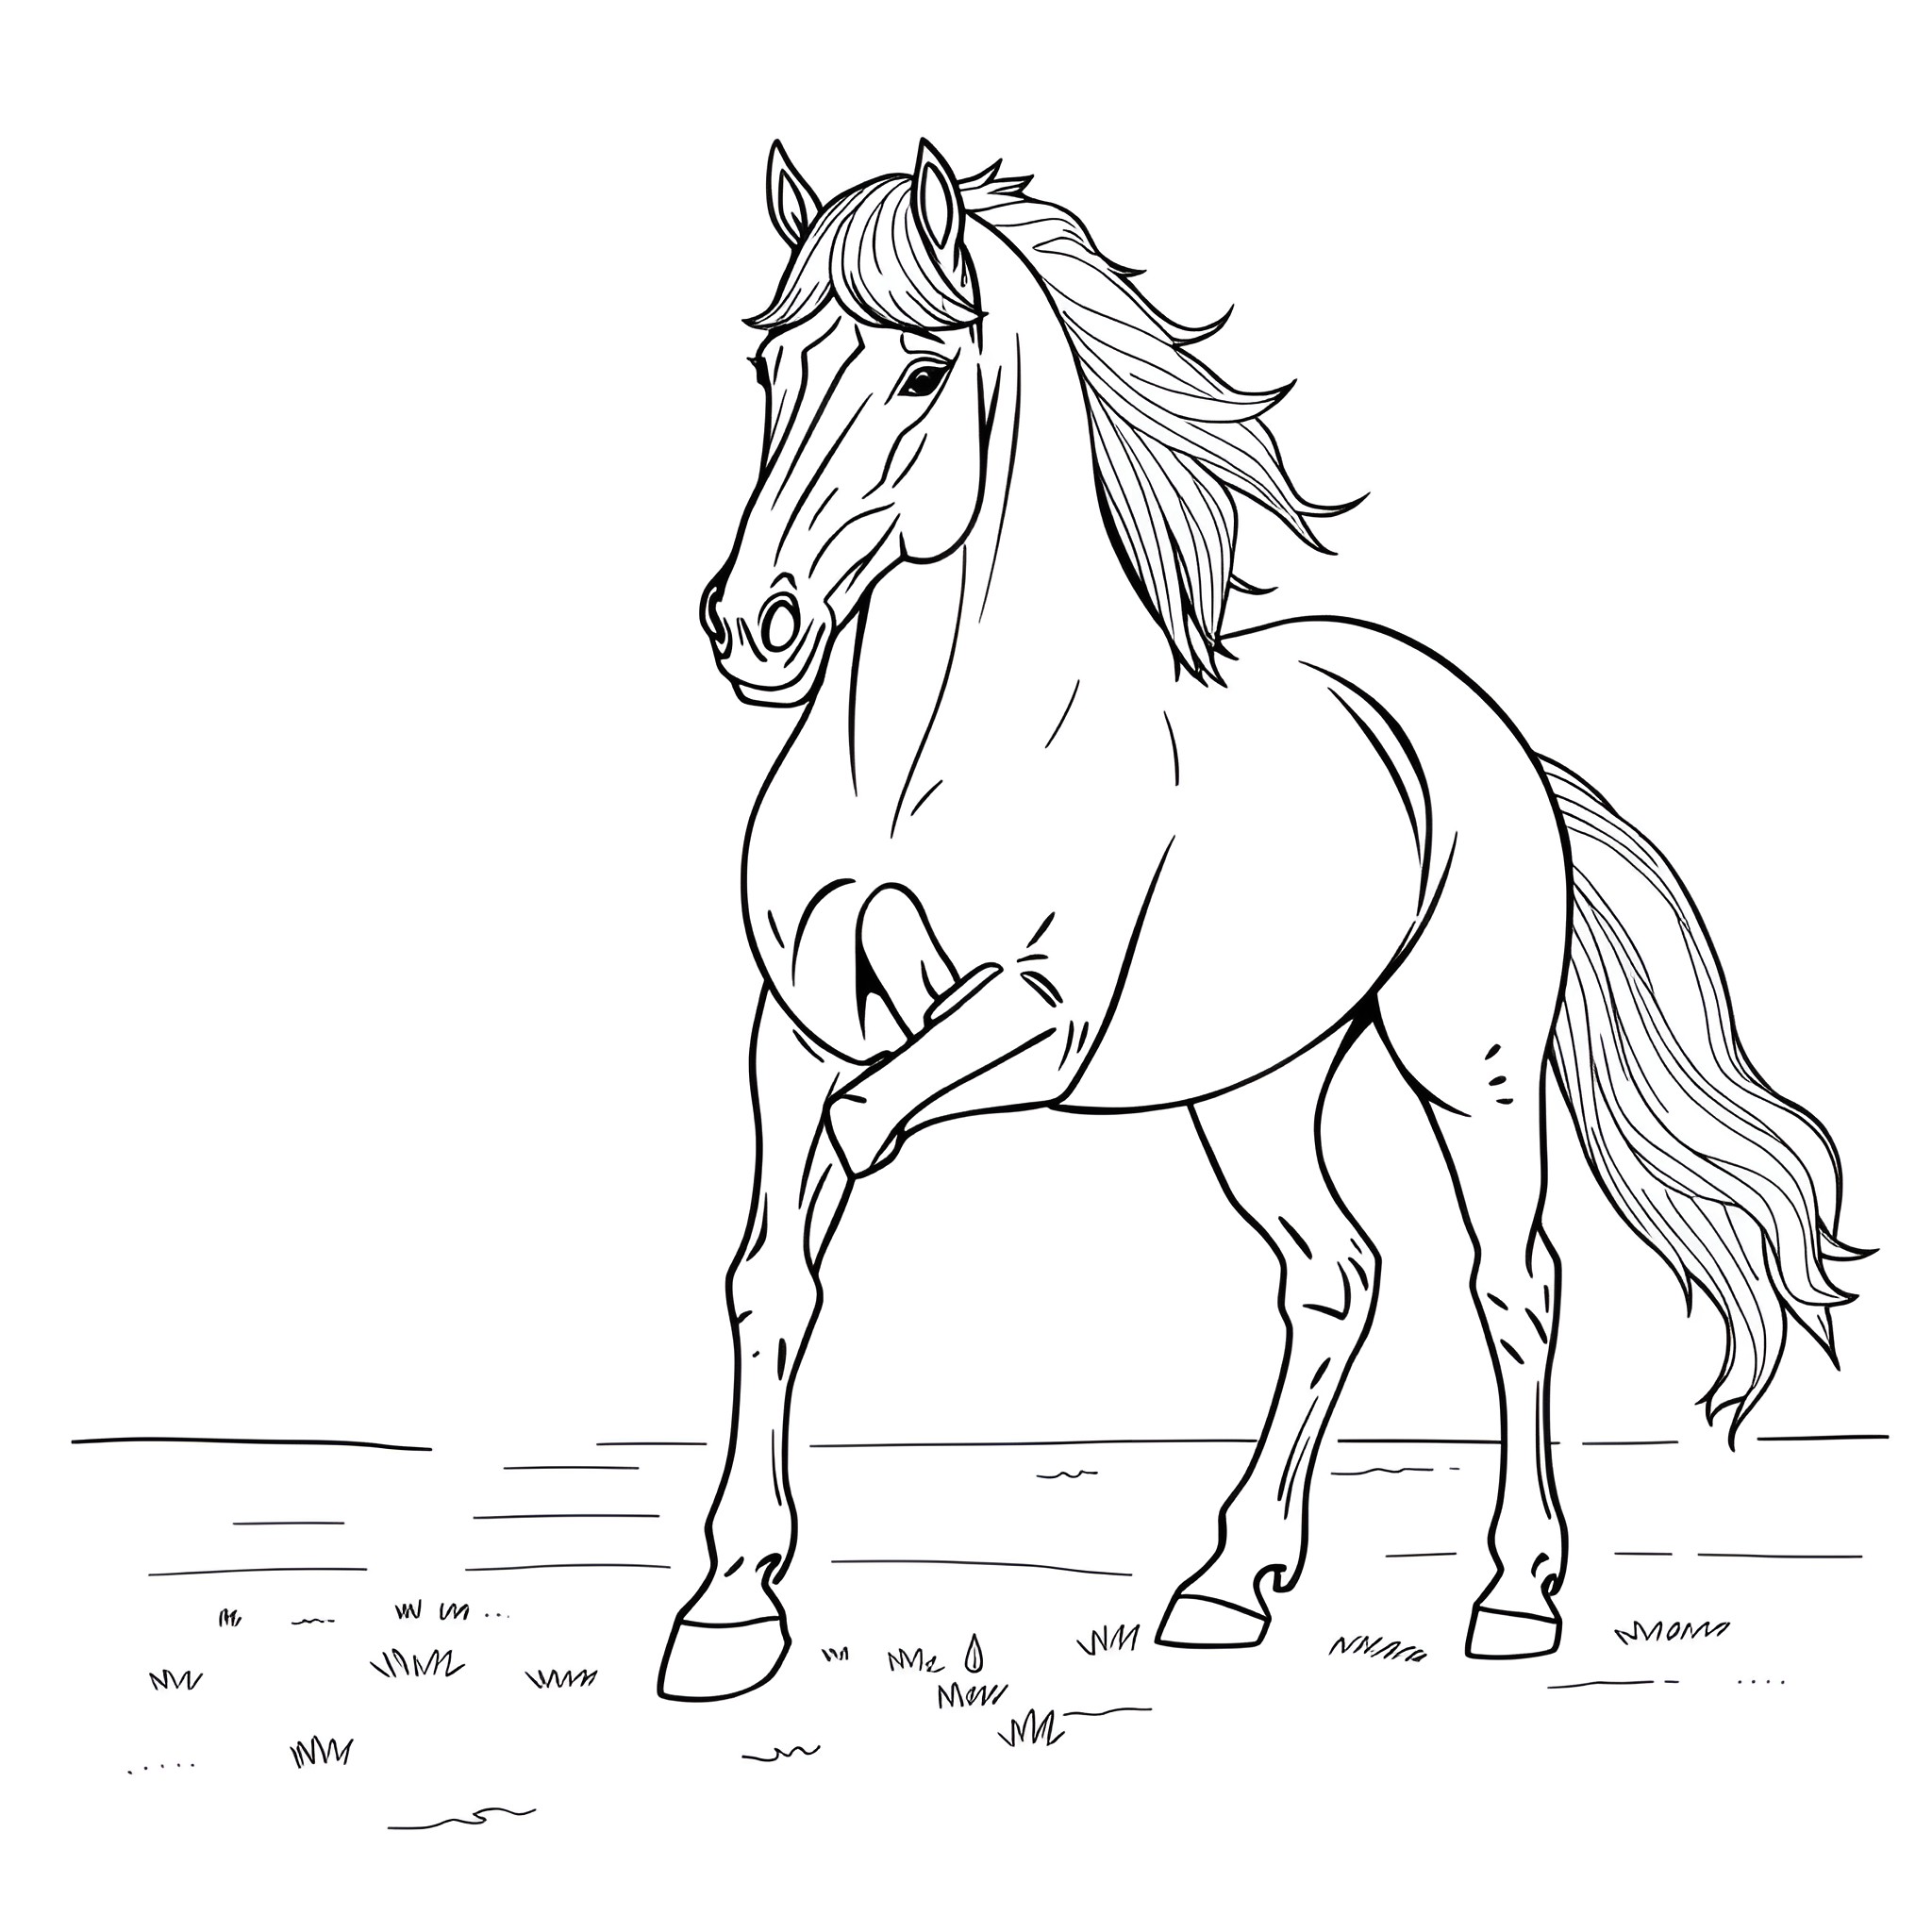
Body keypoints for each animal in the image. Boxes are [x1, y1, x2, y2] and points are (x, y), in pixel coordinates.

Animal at [657, 140, 1862, 1701]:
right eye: (769, 366)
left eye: (923, 371)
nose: (755, 626)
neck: (921, 756)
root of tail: (1488, 731)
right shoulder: (794, 1031)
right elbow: (771, 1278)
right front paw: (729, 1610)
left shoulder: (1039, 1018)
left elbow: (865, 1136)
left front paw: (752, 1582)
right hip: (1254, 1087)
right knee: (1334, 1276)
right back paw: (1230, 1583)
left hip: (1468, 1067)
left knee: (1514, 1283)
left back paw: (1516, 1597)